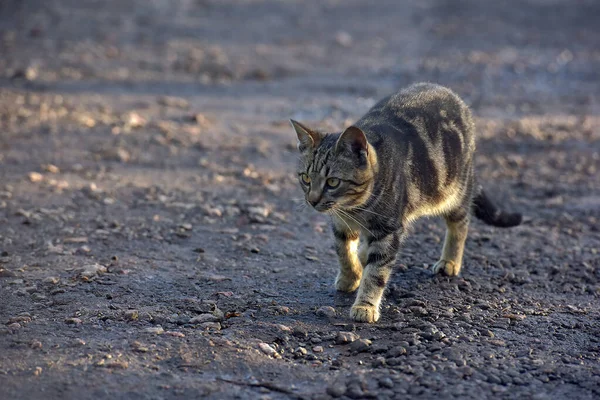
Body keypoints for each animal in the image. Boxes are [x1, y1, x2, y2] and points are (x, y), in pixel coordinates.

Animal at [290, 83, 520, 324]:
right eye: (305, 178)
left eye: (333, 182)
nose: (312, 200)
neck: (355, 208)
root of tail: (450, 93)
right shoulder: (341, 224)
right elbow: (343, 251)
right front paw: (350, 276)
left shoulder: (388, 230)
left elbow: (376, 273)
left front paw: (365, 305)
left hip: (454, 191)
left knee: (461, 223)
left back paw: (450, 261)